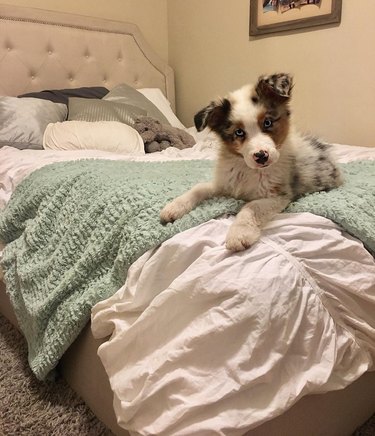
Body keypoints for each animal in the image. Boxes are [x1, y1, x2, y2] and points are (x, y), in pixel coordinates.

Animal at [160, 74, 342, 252]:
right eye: (239, 132)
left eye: (267, 122)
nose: (261, 156)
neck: (247, 169)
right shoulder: (226, 184)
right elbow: (199, 187)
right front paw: (173, 207)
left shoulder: (279, 195)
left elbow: (251, 207)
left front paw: (239, 234)